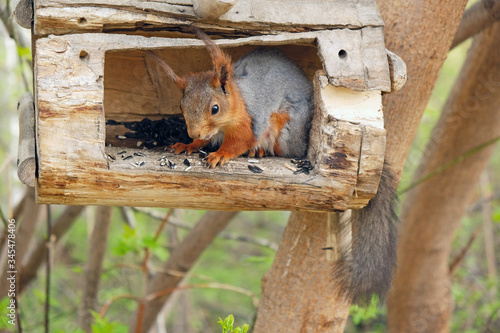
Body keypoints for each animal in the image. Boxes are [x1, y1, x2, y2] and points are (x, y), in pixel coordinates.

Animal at [145, 29, 312, 167]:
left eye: (215, 109)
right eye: (181, 106)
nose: (193, 134)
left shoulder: (246, 122)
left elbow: (240, 141)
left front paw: (220, 154)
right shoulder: (208, 131)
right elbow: (203, 139)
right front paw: (188, 144)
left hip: (286, 133)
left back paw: (259, 150)